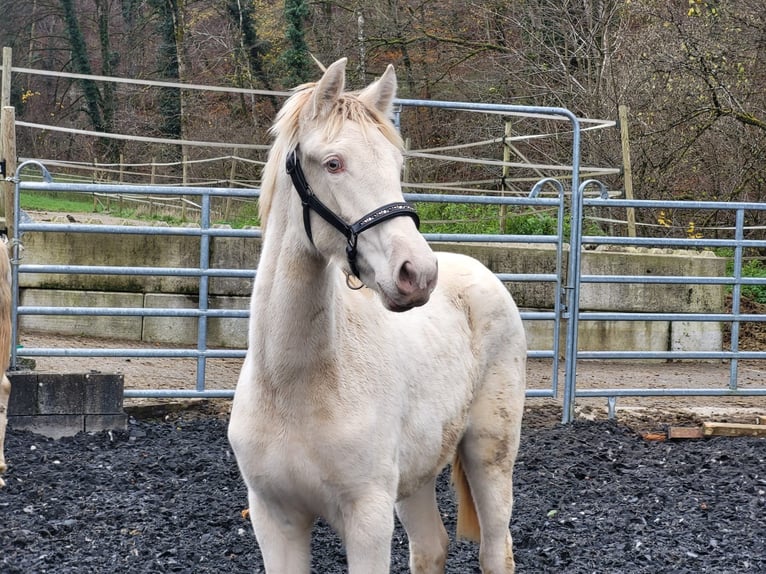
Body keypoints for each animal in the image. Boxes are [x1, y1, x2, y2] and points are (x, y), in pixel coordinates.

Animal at [228, 59, 528, 574]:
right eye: (333, 163)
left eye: (395, 165)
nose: (418, 273)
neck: (295, 386)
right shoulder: (274, 518)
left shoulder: (368, 517)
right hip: (416, 474)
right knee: (431, 547)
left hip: (490, 452)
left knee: (496, 549)